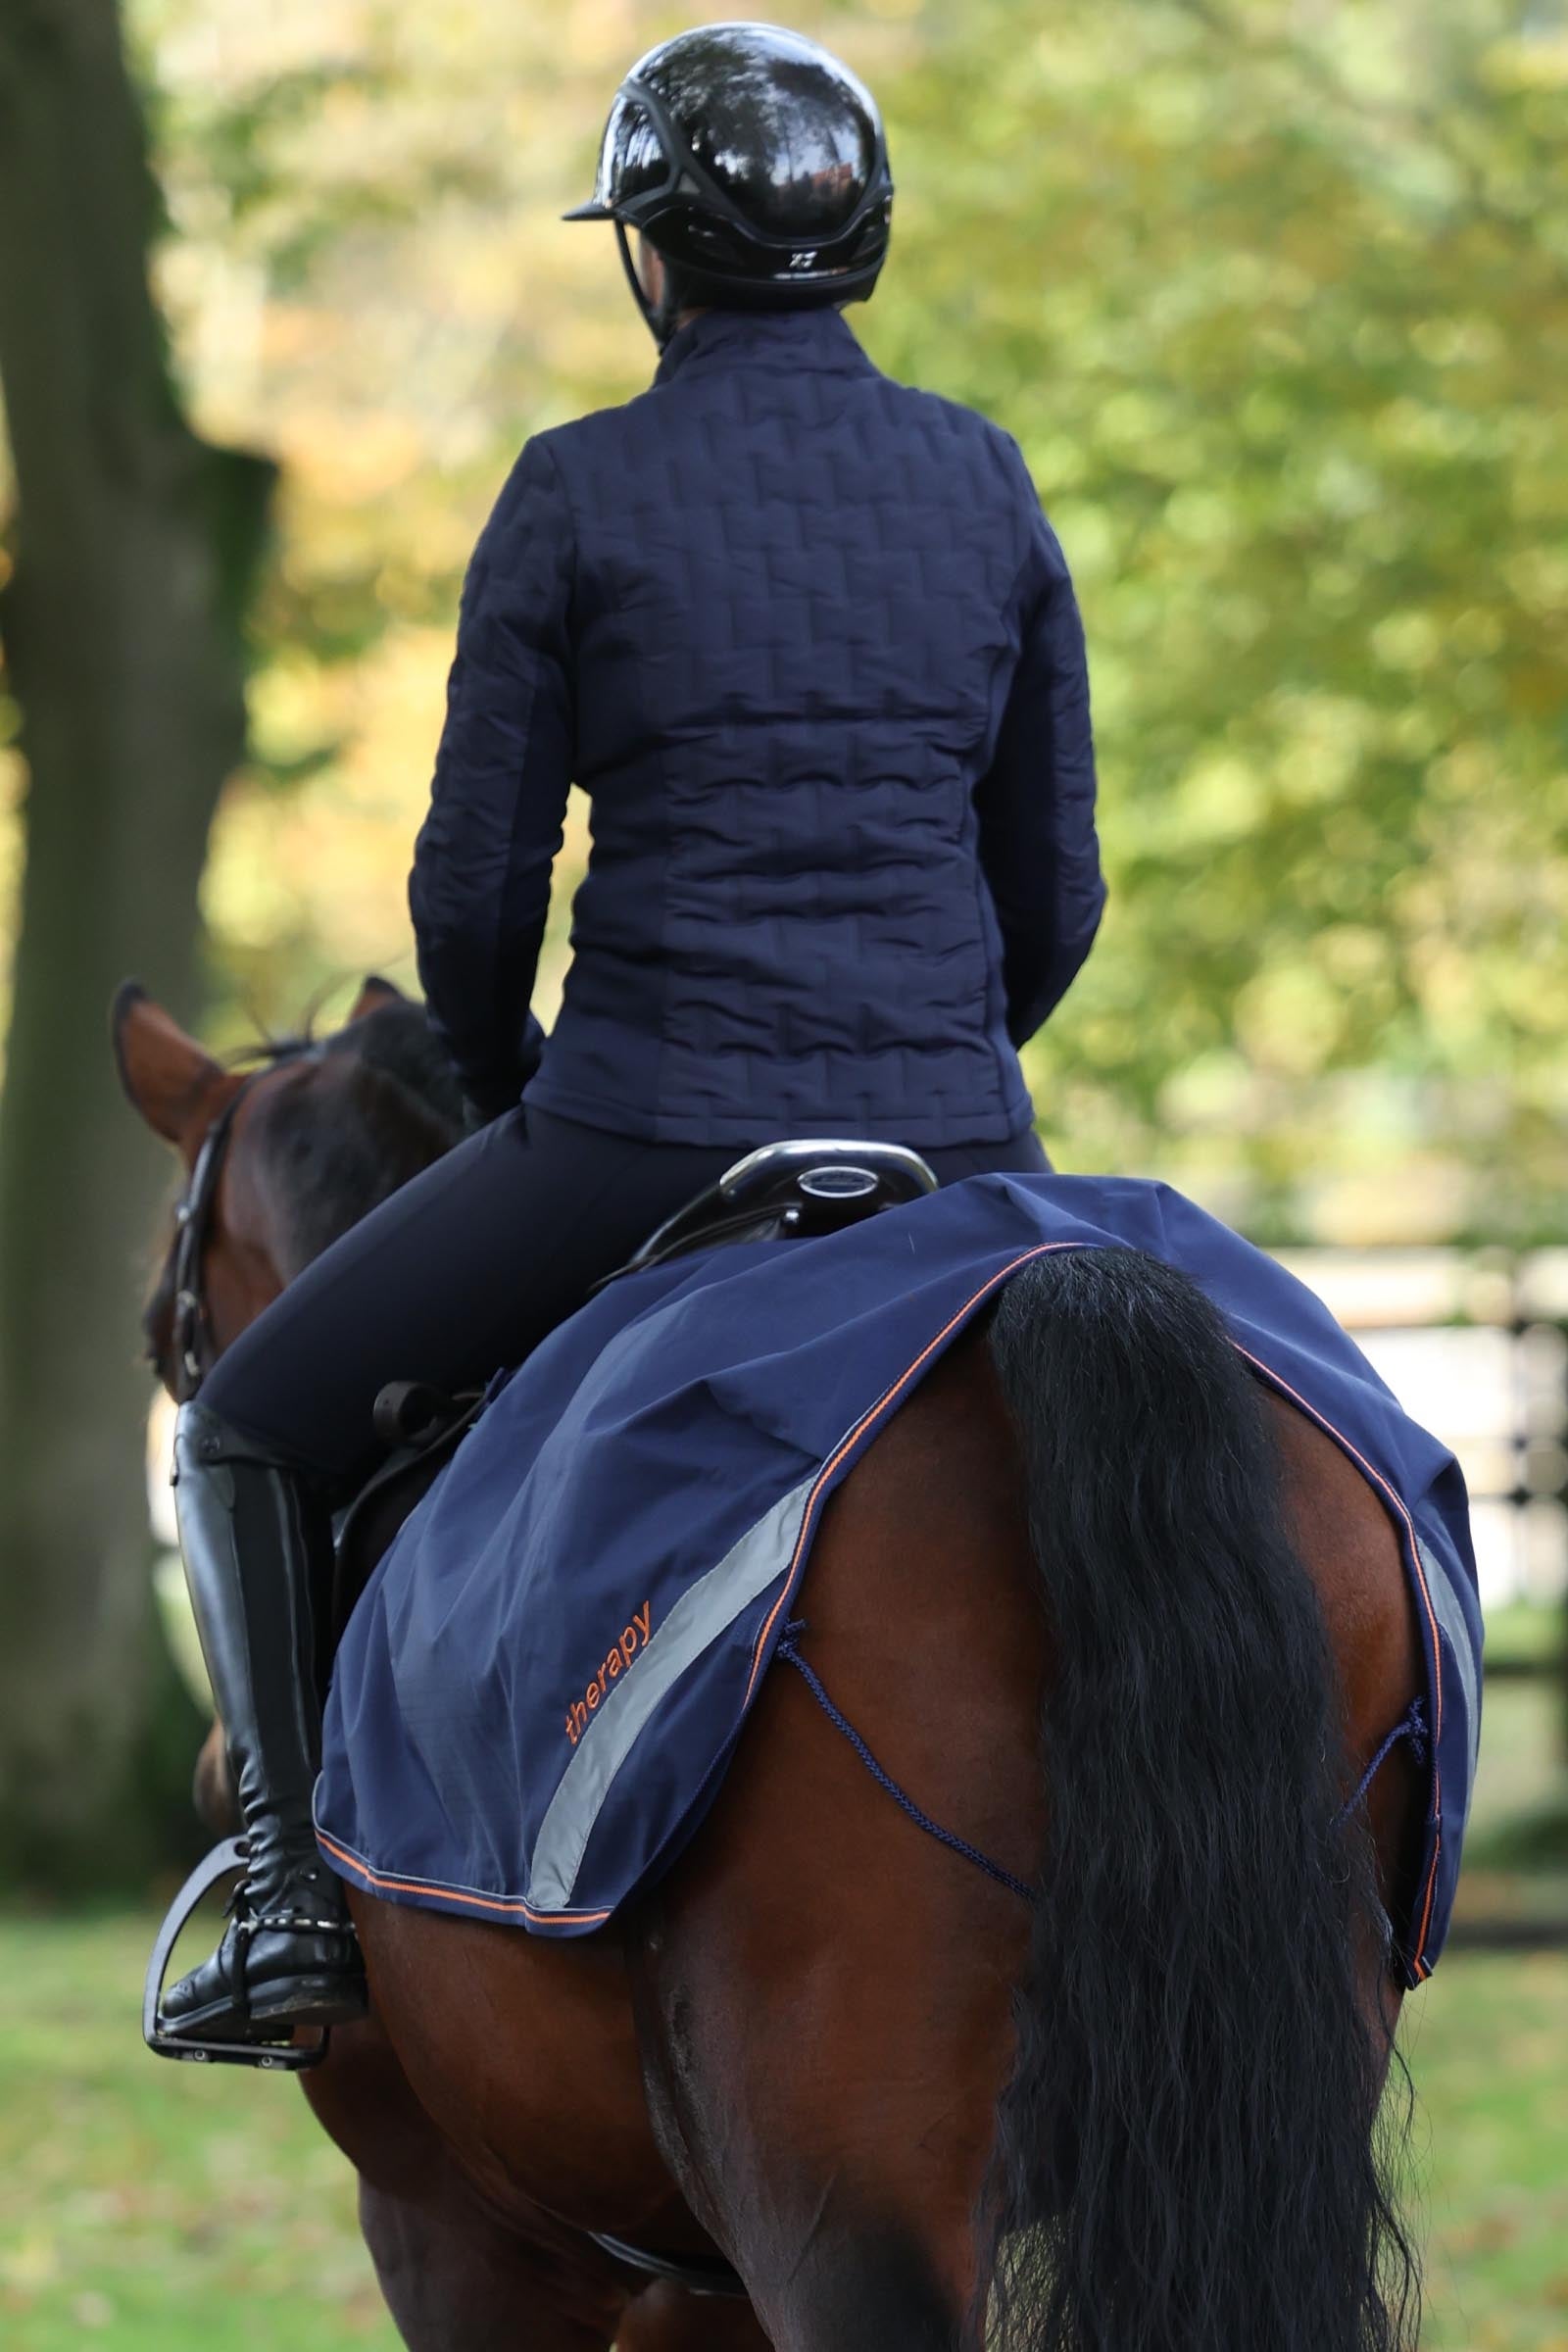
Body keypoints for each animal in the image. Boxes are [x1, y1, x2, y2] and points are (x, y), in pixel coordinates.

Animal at [114, 976, 1427, 2352]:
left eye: (164, 1340)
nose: (209, 1779)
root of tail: (1054, 1272)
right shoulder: (697, 2279)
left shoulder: (453, 2232)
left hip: (839, 2206)